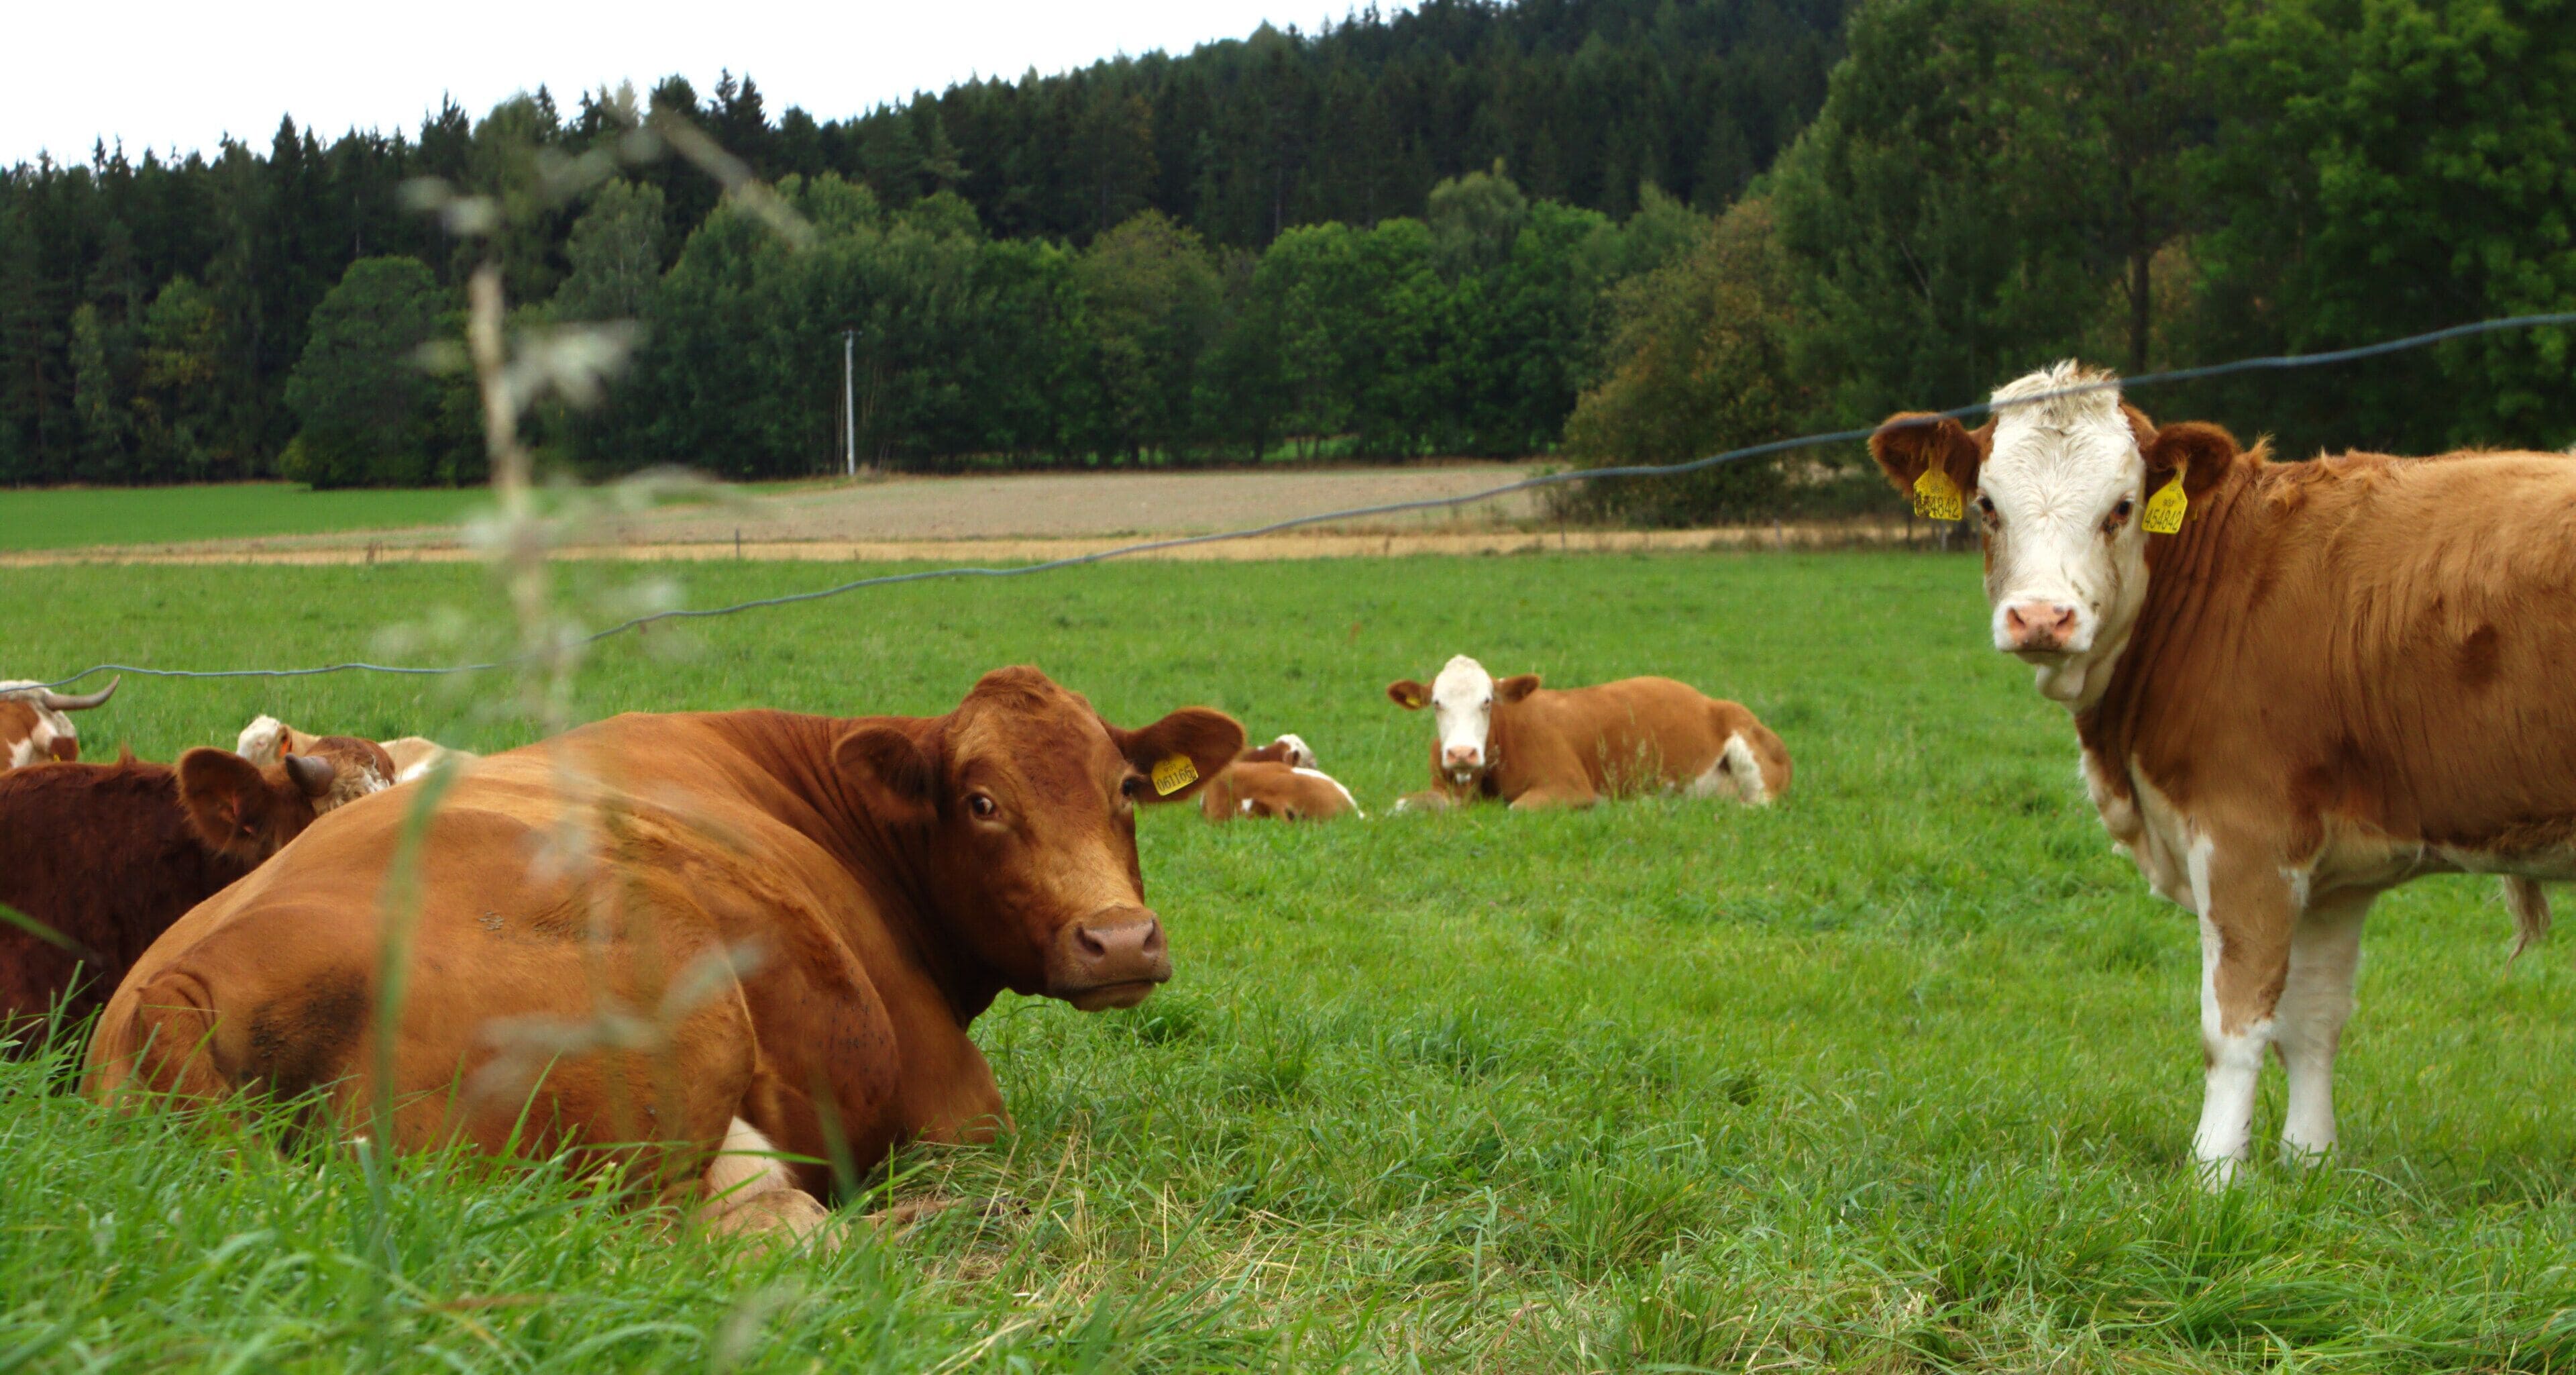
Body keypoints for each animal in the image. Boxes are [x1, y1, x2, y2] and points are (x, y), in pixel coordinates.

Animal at [1385, 655, 1790, 812]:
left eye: (1487, 702)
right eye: (1437, 703)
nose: (1461, 754)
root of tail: (1714, 703)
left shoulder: (1568, 786)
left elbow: (1516, 807)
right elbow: (1400, 805)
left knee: (1756, 804)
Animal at [1868, 360, 2576, 1183]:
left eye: (2122, 508)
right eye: (1987, 506)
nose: (2041, 617)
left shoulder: (2245, 838)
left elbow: (2233, 1026)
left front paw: (2215, 1176)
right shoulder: (2338, 870)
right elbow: (2313, 1020)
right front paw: (2310, 1163)